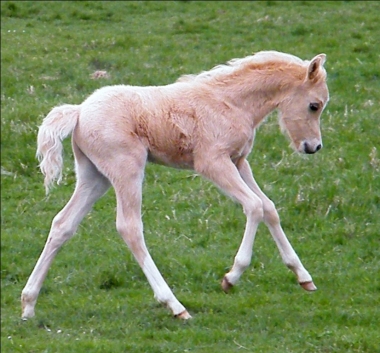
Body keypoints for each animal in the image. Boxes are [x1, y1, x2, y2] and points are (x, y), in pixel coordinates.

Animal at [21, 50, 330, 320]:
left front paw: (303, 276)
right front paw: (231, 277)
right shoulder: (212, 162)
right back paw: (175, 305)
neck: (230, 102)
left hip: (94, 176)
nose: (313, 147)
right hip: (126, 169)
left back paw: (28, 304)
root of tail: (79, 110)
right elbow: (254, 206)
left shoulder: (239, 161)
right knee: (129, 227)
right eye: (314, 105)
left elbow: (269, 208)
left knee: (63, 224)